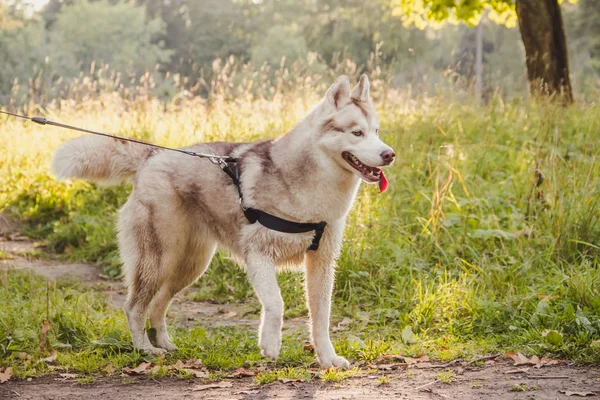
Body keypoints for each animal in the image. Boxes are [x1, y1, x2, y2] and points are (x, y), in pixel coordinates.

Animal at [52, 75, 394, 368]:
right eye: (357, 133)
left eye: (377, 131)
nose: (389, 154)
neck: (310, 188)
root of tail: (152, 156)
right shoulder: (258, 256)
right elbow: (276, 304)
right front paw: (270, 344)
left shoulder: (321, 263)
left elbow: (321, 318)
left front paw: (328, 359)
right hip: (159, 260)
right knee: (134, 307)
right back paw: (145, 350)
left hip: (189, 266)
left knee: (158, 305)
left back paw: (164, 343)